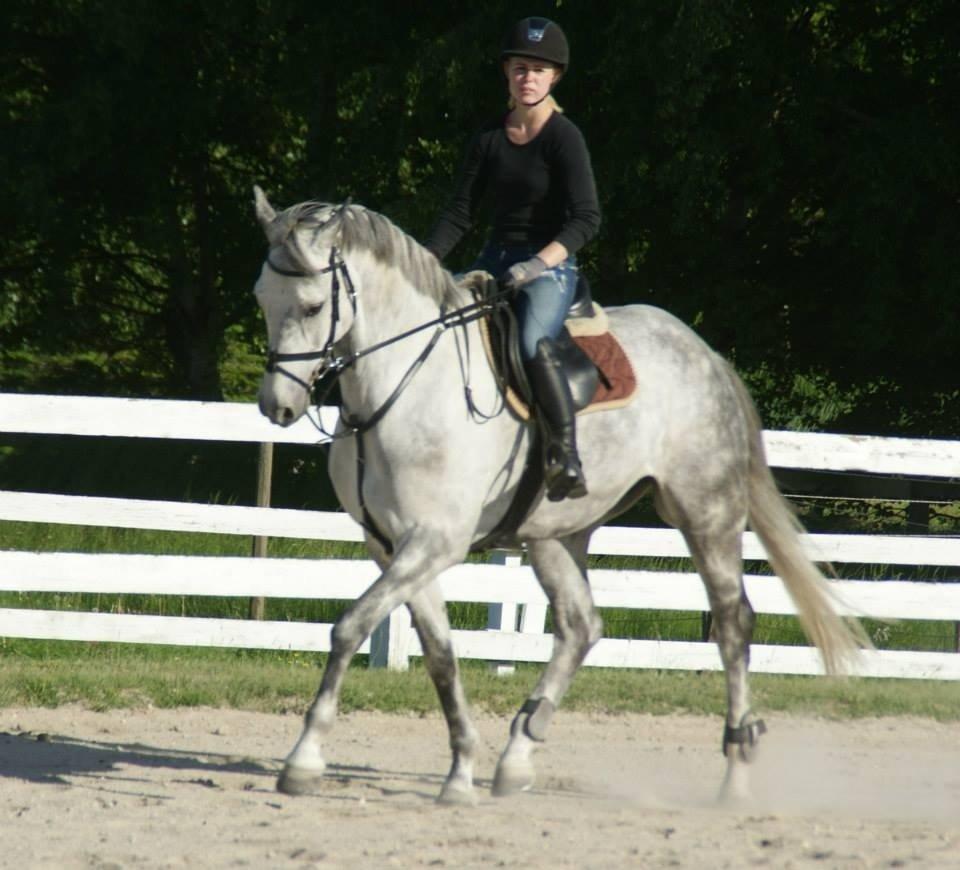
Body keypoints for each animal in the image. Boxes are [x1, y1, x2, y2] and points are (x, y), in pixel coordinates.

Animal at [251, 187, 868, 808]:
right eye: (261, 298)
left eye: (312, 307)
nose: (277, 406)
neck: (405, 388)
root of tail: (706, 356)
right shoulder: (392, 547)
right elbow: (441, 656)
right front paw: (461, 771)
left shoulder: (435, 542)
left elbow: (349, 627)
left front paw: (303, 760)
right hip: (557, 533)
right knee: (580, 626)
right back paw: (517, 755)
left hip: (705, 512)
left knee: (732, 622)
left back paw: (735, 774)